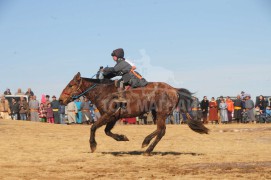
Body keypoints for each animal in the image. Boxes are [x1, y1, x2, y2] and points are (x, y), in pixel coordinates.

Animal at [59, 72, 208, 155]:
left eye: (71, 85)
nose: (60, 100)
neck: (104, 92)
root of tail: (174, 90)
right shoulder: (113, 118)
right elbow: (107, 131)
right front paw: (122, 137)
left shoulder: (108, 115)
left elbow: (93, 127)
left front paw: (93, 145)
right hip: (157, 113)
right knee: (161, 130)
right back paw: (147, 145)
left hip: (161, 114)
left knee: (161, 130)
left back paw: (146, 146)